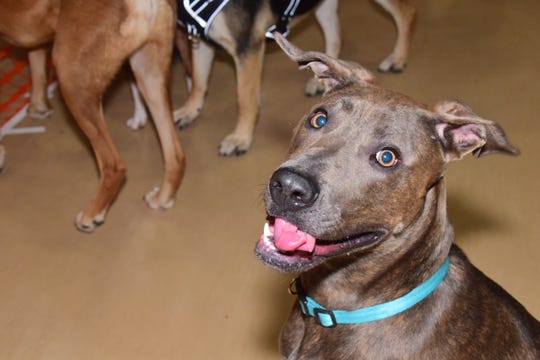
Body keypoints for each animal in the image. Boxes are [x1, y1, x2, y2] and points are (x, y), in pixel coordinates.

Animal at [0, 1, 186, 232]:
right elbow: (35, 61)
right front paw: (38, 106)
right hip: (148, 71)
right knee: (175, 155)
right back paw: (162, 198)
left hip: (73, 80)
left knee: (114, 165)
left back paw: (92, 214)